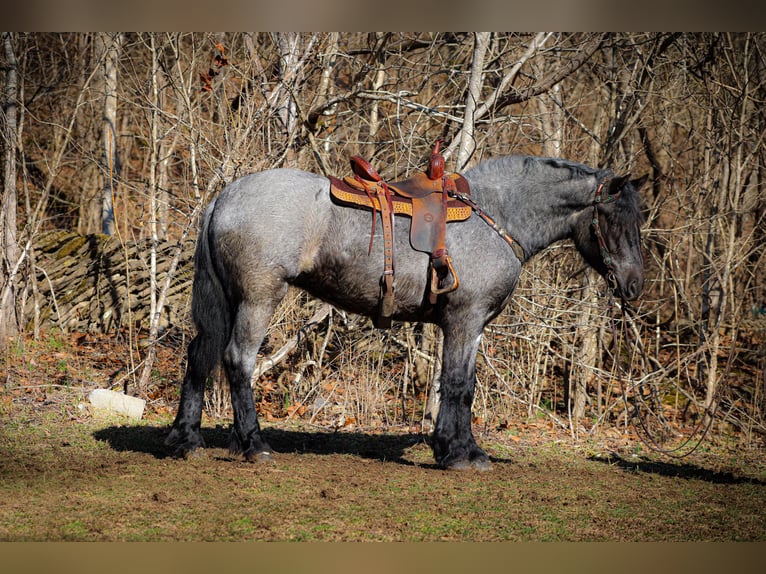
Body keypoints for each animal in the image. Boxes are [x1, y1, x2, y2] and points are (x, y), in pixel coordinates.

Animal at [166, 154, 648, 472]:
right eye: (614, 220)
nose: (634, 285)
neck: (495, 216)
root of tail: (225, 198)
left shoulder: (469, 329)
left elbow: (457, 384)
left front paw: (454, 448)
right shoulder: (465, 321)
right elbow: (458, 386)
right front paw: (461, 455)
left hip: (226, 301)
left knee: (200, 357)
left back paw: (186, 439)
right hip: (259, 297)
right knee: (238, 360)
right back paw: (254, 444)